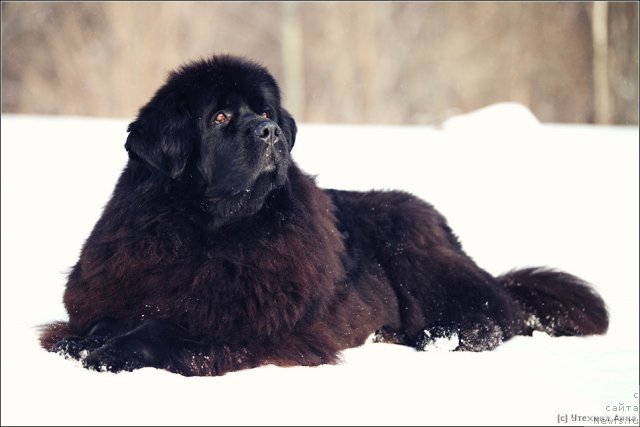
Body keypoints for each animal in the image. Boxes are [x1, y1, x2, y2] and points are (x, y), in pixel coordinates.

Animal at [37, 54, 608, 378]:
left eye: (264, 113)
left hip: (417, 254)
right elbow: (101, 319)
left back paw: (439, 338)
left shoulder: (239, 321)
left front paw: (112, 352)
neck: (203, 232)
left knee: (494, 318)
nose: (269, 132)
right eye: (219, 116)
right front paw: (85, 339)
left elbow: (163, 327)